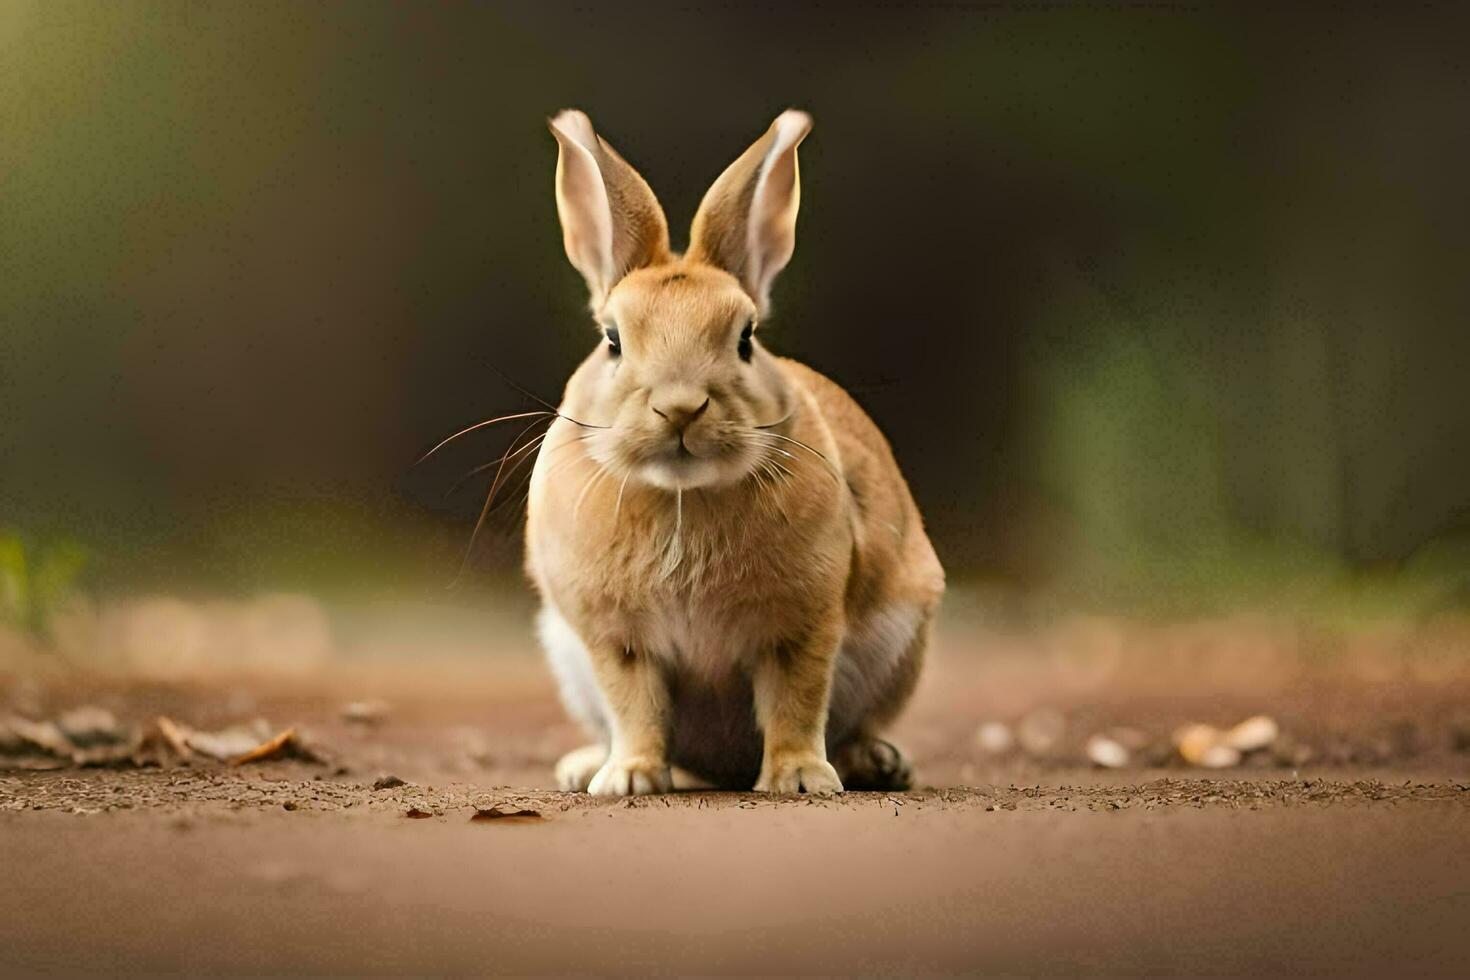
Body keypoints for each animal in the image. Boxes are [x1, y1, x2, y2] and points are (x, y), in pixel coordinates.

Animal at [526, 109, 940, 799]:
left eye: (745, 338)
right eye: (612, 339)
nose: (681, 407)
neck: (681, 494)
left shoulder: (802, 627)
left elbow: (796, 701)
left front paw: (799, 780)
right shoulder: (616, 641)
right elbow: (636, 709)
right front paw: (630, 779)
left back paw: (874, 764)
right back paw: (585, 767)